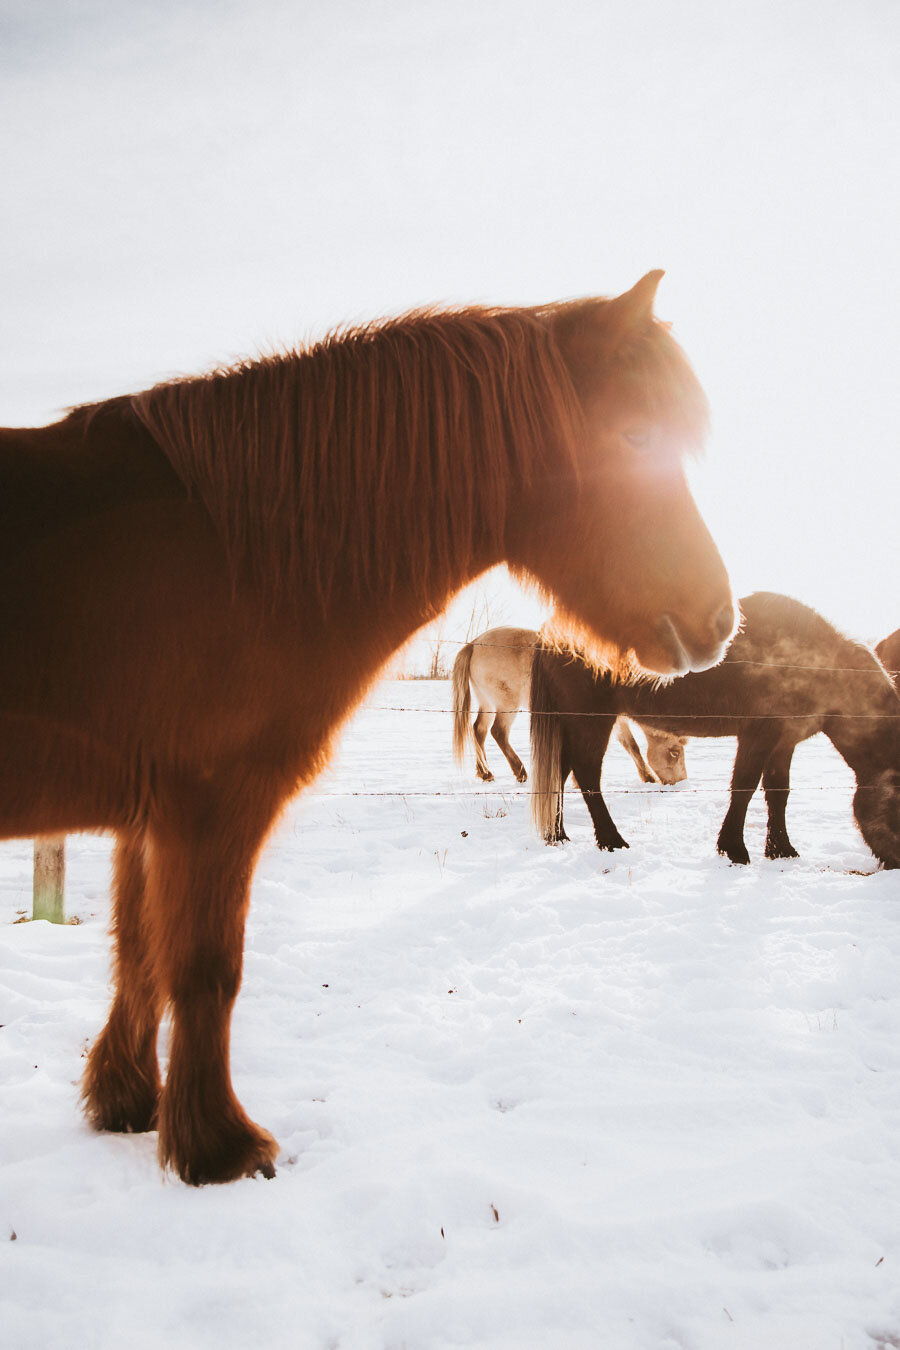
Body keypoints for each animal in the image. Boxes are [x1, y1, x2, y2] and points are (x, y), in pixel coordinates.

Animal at [451, 625, 687, 784]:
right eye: (675, 752)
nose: (681, 781)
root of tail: (474, 643)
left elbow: (632, 745)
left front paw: (647, 777)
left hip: (487, 703)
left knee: (478, 731)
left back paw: (485, 772)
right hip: (506, 704)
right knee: (498, 732)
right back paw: (519, 771)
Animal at [531, 592, 900, 867]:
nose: (895, 866)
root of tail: (549, 632)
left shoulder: (784, 742)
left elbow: (778, 793)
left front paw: (781, 850)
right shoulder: (757, 735)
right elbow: (744, 787)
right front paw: (734, 849)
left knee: (560, 772)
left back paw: (557, 834)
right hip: (592, 720)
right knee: (587, 774)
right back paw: (611, 841)